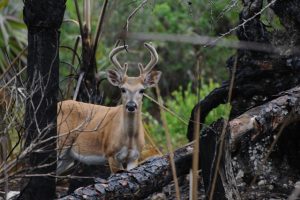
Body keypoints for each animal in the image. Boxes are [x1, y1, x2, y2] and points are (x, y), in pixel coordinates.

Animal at [56, 43, 162, 174]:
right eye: (122, 89)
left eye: (142, 90)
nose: (131, 106)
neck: (129, 139)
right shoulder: (111, 154)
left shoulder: (134, 157)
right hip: (61, 141)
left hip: (67, 157)